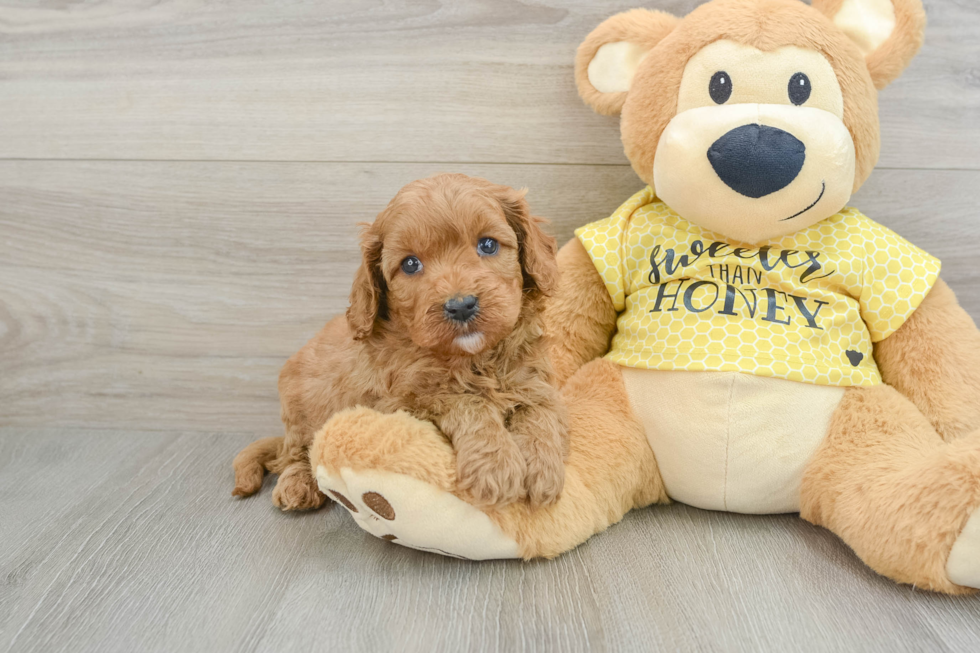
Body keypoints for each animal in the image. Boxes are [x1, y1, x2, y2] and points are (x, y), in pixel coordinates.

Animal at [234, 172, 572, 510]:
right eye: (410, 264)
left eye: (488, 245)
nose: (461, 305)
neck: (473, 358)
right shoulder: (403, 403)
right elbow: (466, 400)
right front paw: (497, 466)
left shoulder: (534, 377)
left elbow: (541, 410)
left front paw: (543, 466)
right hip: (298, 407)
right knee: (294, 453)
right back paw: (298, 483)